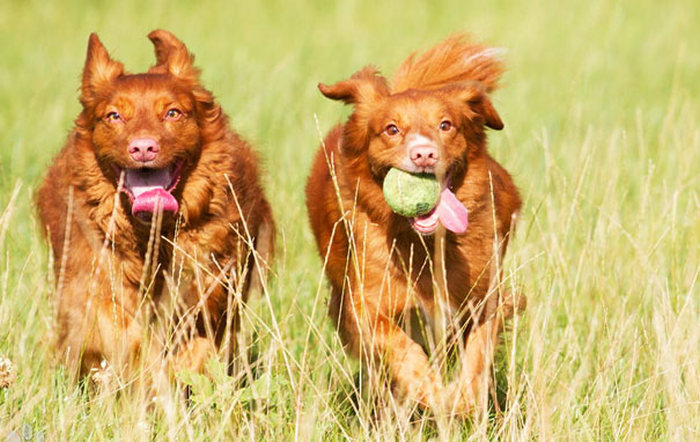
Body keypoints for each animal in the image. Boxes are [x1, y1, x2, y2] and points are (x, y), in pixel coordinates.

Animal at [37, 30, 274, 380]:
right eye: (114, 115)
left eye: (172, 113)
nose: (143, 147)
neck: (153, 233)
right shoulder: (95, 282)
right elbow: (119, 332)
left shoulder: (211, 289)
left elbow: (197, 344)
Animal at [306, 36, 524, 416]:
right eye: (392, 129)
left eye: (446, 125)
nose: (424, 154)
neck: (423, 242)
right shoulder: (366, 307)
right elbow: (403, 350)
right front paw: (431, 391)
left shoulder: (484, 300)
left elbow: (477, 356)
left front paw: (461, 398)